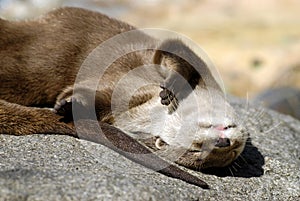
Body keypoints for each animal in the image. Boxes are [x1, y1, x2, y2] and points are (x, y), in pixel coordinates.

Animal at [0, 6, 247, 188]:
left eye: (198, 152)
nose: (224, 142)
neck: (148, 110)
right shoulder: (194, 67)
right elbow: (173, 49)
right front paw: (172, 87)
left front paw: (69, 105)